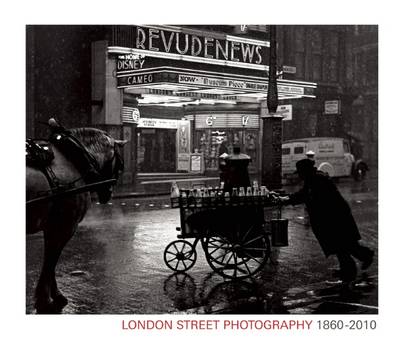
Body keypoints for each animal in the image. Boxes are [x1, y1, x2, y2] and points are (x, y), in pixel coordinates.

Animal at [26, 122, 126, 314]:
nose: (108, 193)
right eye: (119, 162)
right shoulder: (65, 226)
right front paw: (46, 299)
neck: (75, 156)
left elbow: (51, 259)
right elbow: (51, 260)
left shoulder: (52, 226)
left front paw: (52, 295)